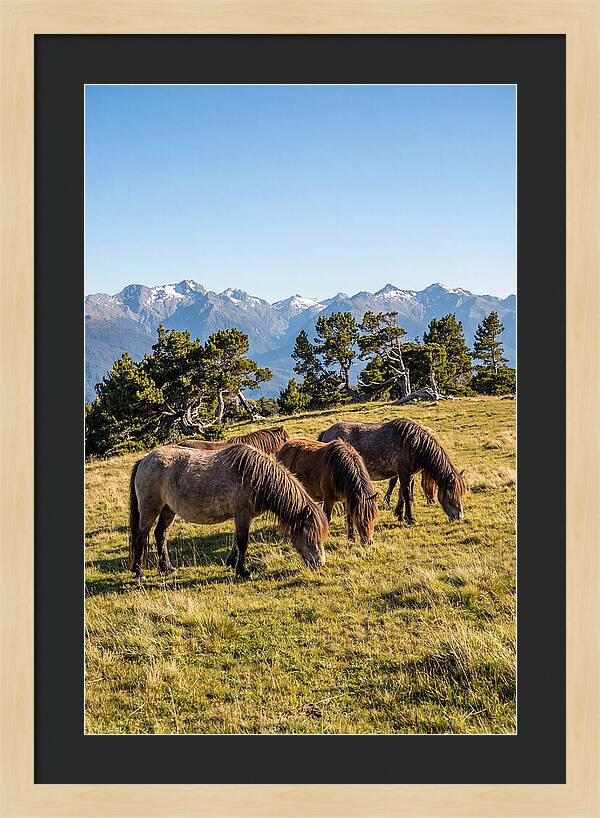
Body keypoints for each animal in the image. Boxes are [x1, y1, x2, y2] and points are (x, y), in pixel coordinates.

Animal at [129, 443, 328, 580]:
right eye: (309, 536)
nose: (320, 564)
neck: (255, 476)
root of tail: (144, 460)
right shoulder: (242, 514)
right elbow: (243, 542)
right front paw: (243, 571)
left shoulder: (244, 517)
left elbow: (236, 540)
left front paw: (232, 563)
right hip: (150, 510)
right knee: (141, 537)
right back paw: (139, 573)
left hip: (168, 510)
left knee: (161, 535)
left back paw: (167, 568)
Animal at [318, 418, 465, 523]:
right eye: (451, 495)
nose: (459, 516)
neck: (413, 443)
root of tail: (326, 432)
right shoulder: (403, 473)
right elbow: (407, 495)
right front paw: (411, 519)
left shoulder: (409, 475)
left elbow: (402, 494)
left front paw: (400, 515)